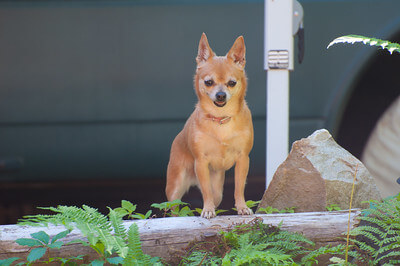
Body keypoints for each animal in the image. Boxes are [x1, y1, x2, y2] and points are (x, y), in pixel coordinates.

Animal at [165, 32, 253, 218]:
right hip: (175, 187)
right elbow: (206, 191)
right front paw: (207, 210)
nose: (220, 95)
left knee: (215, 195)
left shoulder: (243, 159)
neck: (221, 119)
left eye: (232, 83)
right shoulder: (201, 162)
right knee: (173, 208)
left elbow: (239, 187)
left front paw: (242, 207)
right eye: (208, 82)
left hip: (218, 188)